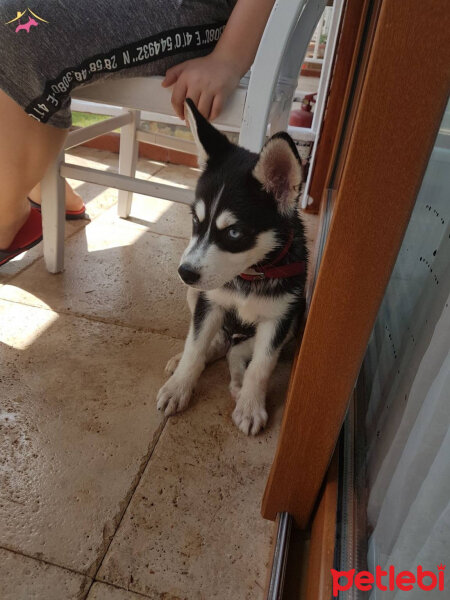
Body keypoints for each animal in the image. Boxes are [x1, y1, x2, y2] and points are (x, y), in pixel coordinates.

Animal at [156, 99, 308, 436]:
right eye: (195, 221)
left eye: (235, 233)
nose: (184, 273)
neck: (250, 276)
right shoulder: (209, 303)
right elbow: (195, 347)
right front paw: (179, 387)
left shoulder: (280, 319)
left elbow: (262, 366)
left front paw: (251, 406)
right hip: (196, 295)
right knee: (214, 343)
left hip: (296, 317)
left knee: (236, 351)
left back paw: (238, 384)